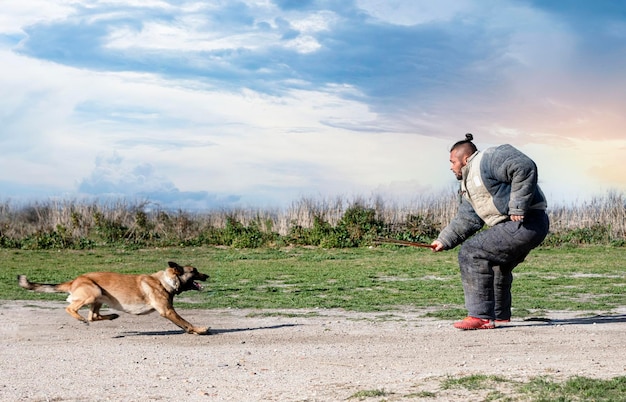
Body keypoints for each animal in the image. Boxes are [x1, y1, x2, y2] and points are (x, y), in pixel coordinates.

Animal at [17, 260, 210, 334]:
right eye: (194, 271)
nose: (207, 276)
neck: (166, 281)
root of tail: (74, 280)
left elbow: (183, 324)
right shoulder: (168, 311)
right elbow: (186, 322)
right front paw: (199, 330)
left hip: (98, 298)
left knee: (93, 316)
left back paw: (112, 316)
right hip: (93, 293)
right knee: (71, 308)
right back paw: (81, 318)